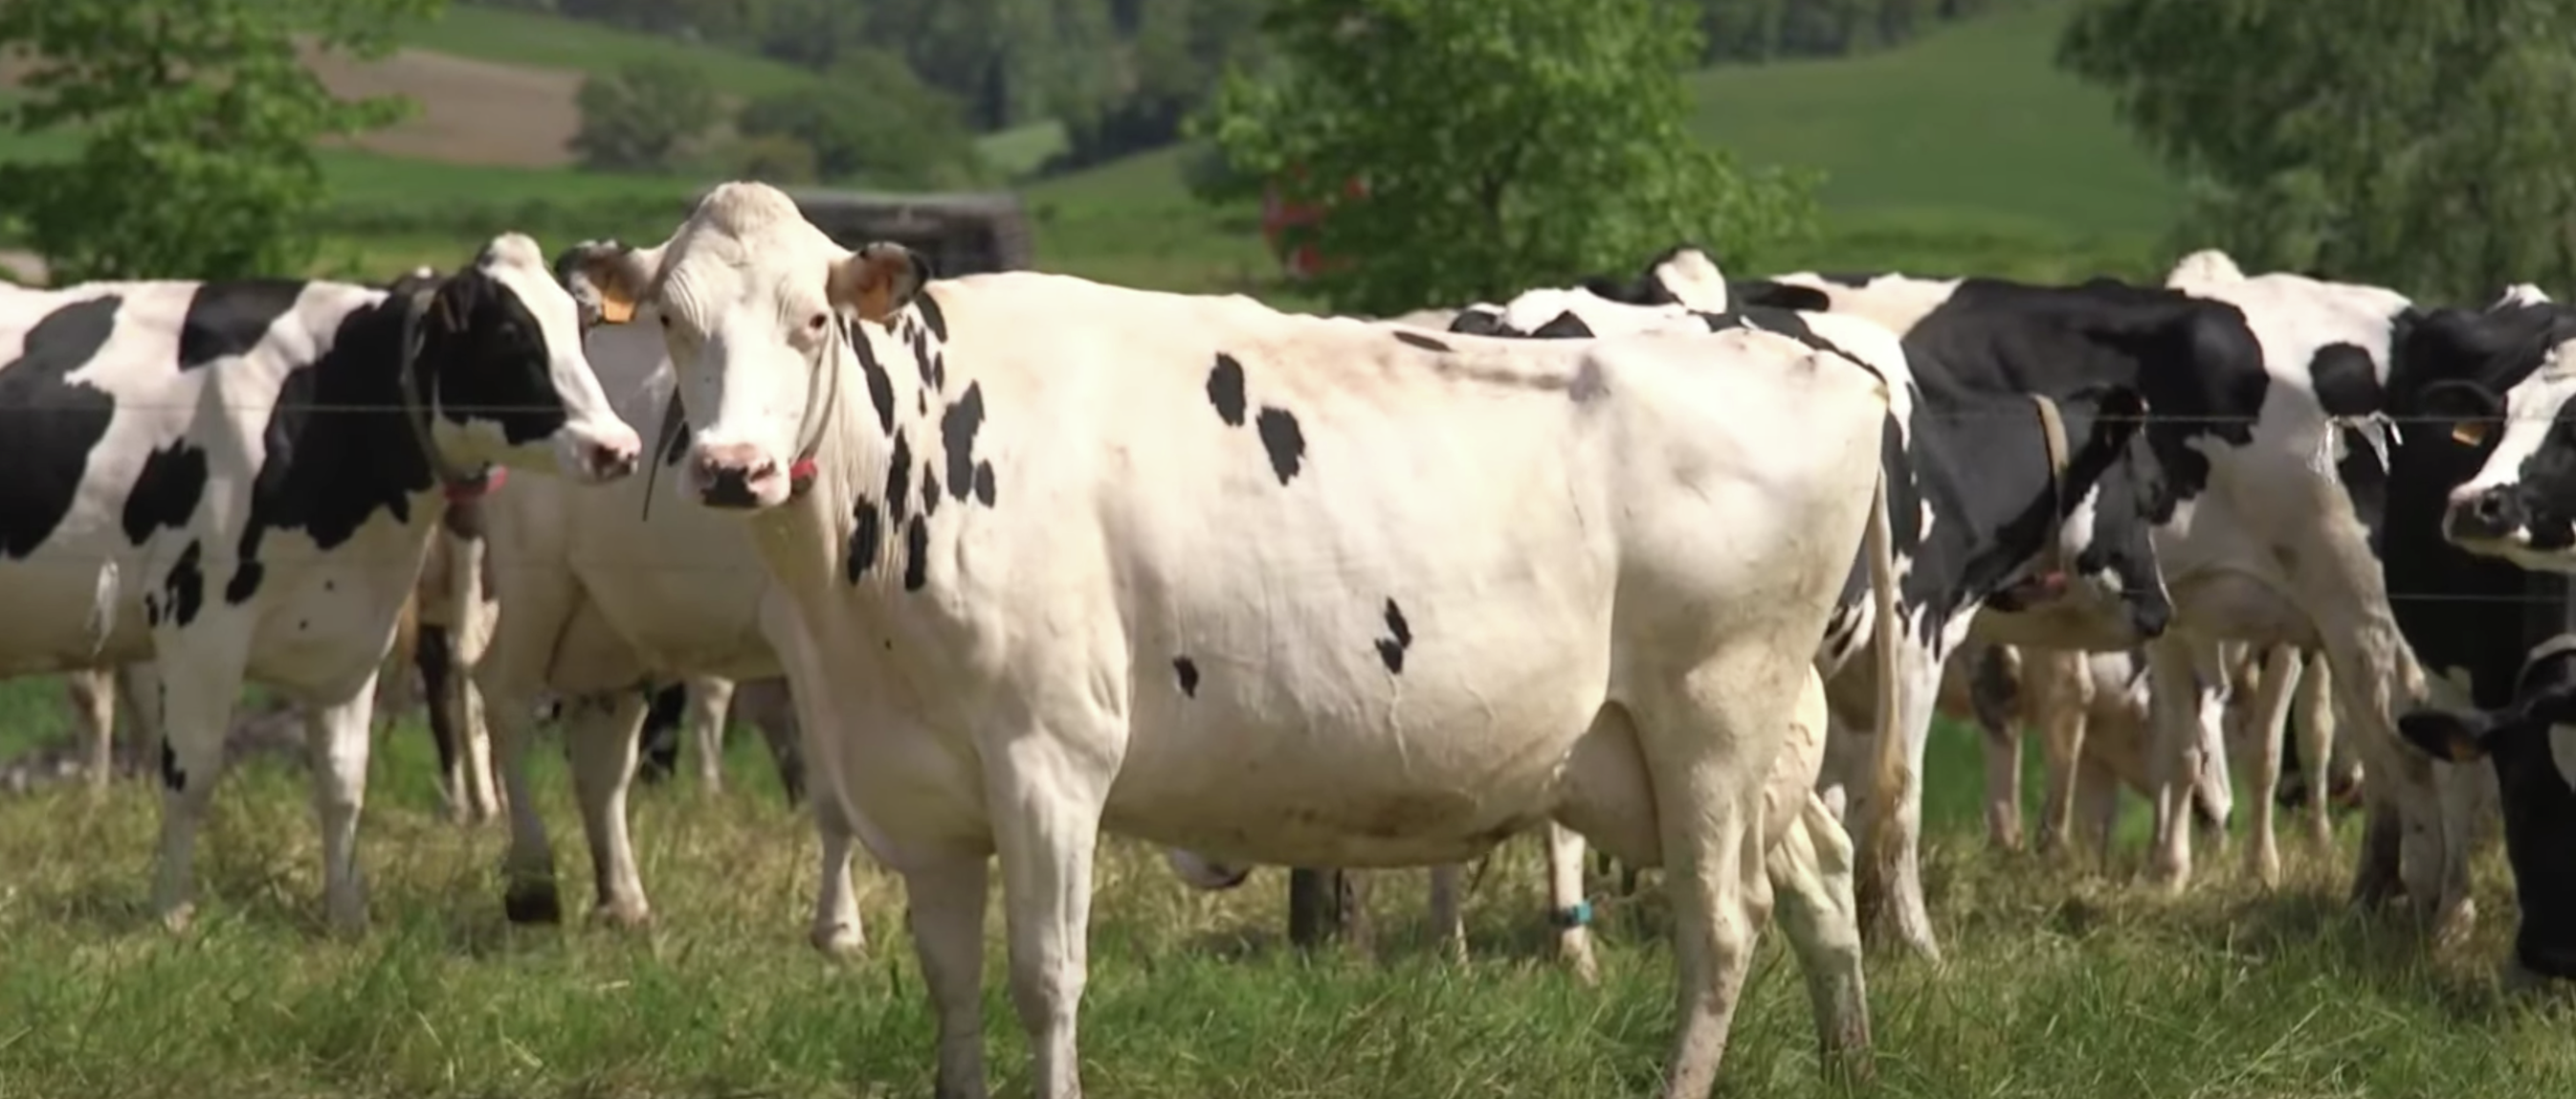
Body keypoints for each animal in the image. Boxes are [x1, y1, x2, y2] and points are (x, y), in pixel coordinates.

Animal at [0, 233, 642, 932]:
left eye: (580, 328)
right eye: (509, 335)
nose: (618, 447)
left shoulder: (351, 638)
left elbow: (342, 782)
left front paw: (347, 915)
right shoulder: (200, 620)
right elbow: (192, 773)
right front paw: (171, 911)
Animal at [562, 180, 1906, 1099]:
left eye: (809, 320)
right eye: (671, 321)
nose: (730, 466)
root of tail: (1810, 354)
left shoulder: (1052, 761)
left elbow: (1045, 977)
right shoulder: (913, 789)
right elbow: (951, 980)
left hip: (1711, 717)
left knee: (1719, 924)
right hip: (1708, 746)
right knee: (1819, 869)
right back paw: (1850, 1054)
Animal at [1444, 282, 2171, 960]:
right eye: (2145, 496)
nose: (2162, 609)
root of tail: (1513, 315)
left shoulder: (1838, 673)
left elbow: (1829, 796)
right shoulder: (1914, 629)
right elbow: (1899, 794)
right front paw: (1915, 944)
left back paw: (1456, 943)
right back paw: (1564, 951)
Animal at [1719, 253, 2471, 948]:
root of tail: (2405, 324)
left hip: (2359, 606)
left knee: (2406, 746)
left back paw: (2434, 913)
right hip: (2341, 621)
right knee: (2384, 746)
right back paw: (2378, 897)